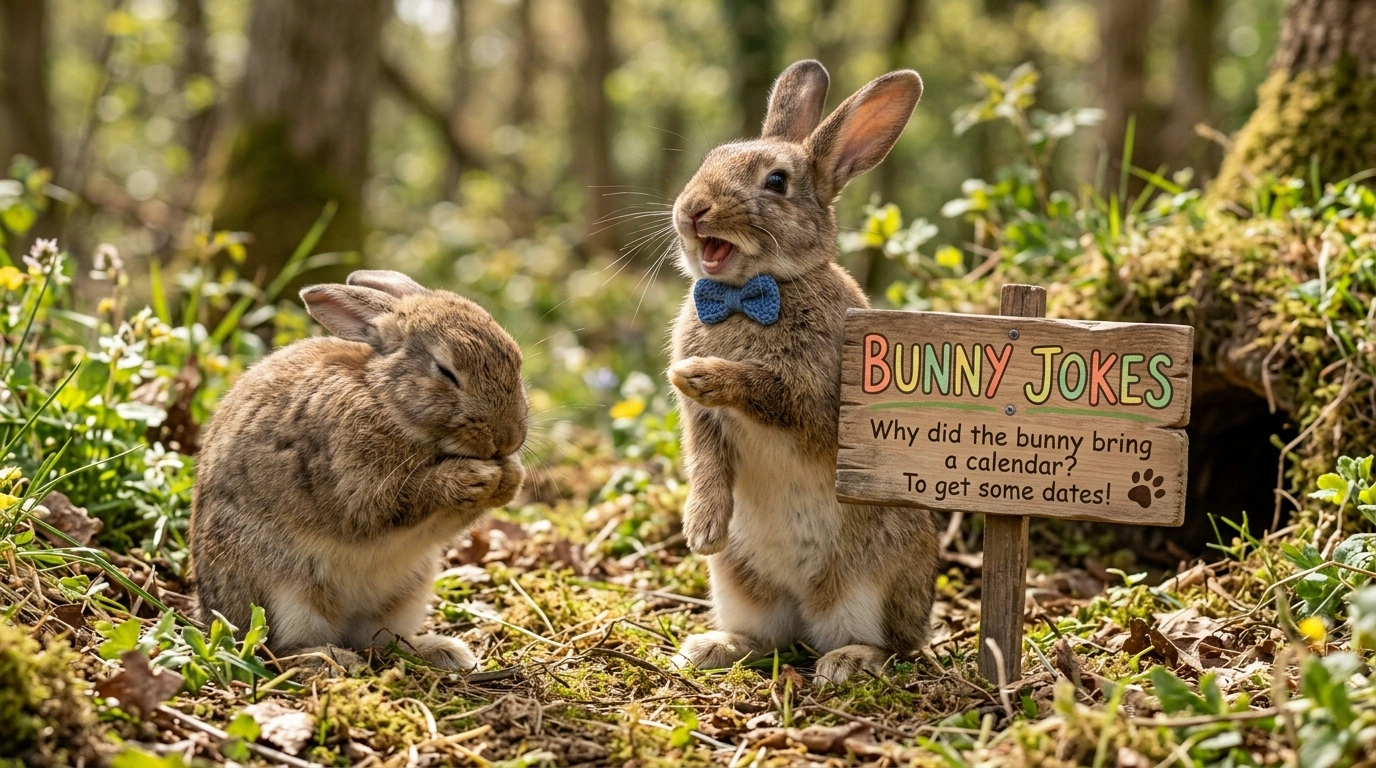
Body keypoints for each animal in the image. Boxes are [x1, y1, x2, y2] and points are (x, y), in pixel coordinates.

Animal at [189, 269, 527, 671]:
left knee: (383, 640)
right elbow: (397, 503)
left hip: (407, 593)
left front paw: (511, 477)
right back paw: (335, 660)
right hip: (285, 591)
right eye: (446, 372)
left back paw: (444, 652)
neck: (385, 398)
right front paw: (477, 476)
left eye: (518, 361)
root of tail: (208, 612)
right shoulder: (356, 484)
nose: (508, 439)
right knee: (283, 647)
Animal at [666, 60, 939, 684]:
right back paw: (712, 647)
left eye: (776, 182)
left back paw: (847, 662)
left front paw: (703, 374)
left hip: (870, 584)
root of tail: (803, 603)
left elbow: (772, 393)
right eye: (709, 158)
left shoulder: (821, 401)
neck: (747, 294)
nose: (692, 209)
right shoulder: (702, 430)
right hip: (740, 584)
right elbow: (707, 462)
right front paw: (701, 529)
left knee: (894, 645)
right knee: (770, 638)